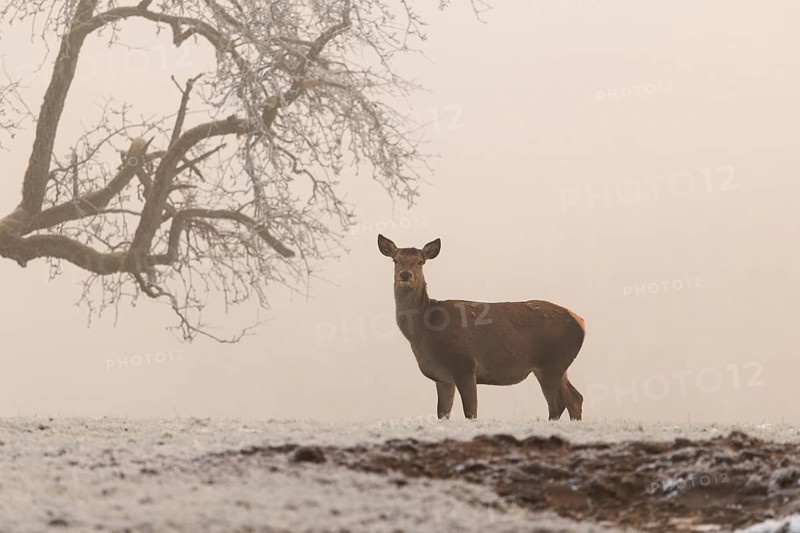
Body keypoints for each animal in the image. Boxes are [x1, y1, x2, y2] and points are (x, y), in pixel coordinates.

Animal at [377, 234, 586, 421]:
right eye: (396, 260)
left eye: (421, 262)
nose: (405, 275)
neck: (424, 332)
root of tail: (581, 322)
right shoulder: (442, 377)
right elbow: (442, 413)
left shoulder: (465, 364)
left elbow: (471, 411)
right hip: (559, 366)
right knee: (575, 398)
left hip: (552, 363)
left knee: (557, 404)